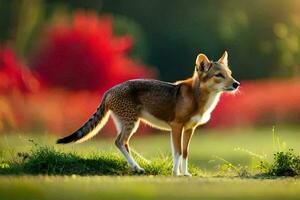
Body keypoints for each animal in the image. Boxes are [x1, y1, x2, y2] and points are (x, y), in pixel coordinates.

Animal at [56, 50, 239, 176]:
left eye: (230, 74)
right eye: (218, 75)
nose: (236, 84)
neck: (198, 97)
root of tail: (109, 90)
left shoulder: (189, 129)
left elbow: (185, 152)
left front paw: (185, 173)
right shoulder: (176, 127)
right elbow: (178, 152)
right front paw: (176, 173)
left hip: (127, 123)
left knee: (123, 143)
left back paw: (136, 167)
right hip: (131, 123)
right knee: (119, 142)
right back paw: (137, 168)